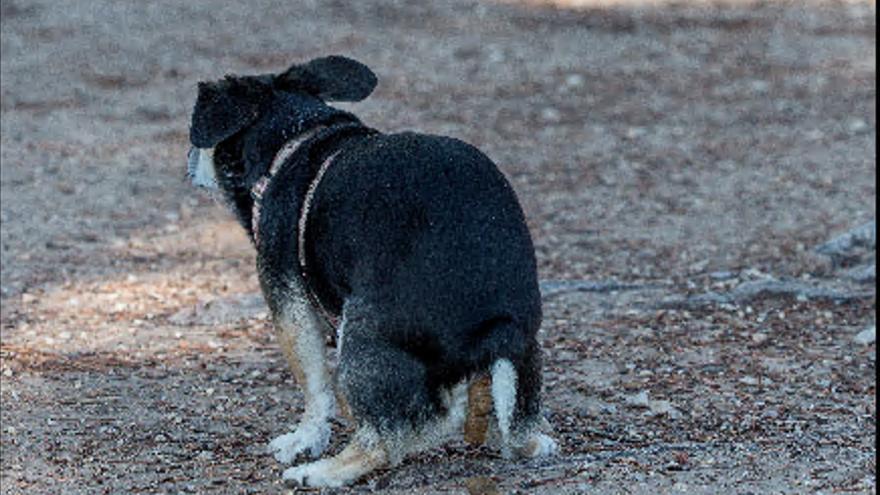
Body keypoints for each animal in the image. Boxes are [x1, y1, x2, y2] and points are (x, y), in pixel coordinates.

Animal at [186, 55, 556, 488]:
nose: (189, 159)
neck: (294, 142)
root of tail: (498, 323)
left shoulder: (288, 302)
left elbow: (314, 384)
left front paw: (304, 440)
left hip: (360, 332)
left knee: (388, 438)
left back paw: (321, 472)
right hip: (524, 356)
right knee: (513, 426)